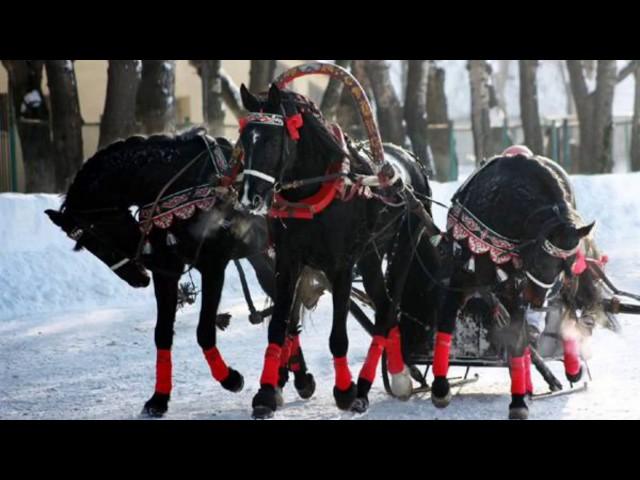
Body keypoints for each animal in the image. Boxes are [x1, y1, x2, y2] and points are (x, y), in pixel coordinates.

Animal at [45, 127, 312, 416]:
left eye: (94, 236)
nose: (139, 276)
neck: (178, 187)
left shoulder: (213, 265)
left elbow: (204, 331)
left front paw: (230, 378)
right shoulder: (167, 271)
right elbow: (162, 333)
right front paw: (158, 399)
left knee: (288, 307)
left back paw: (295, 378)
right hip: (258, 255)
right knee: (283, 304)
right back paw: (286, 377)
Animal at [238, 82, 438, 416]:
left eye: (271, 140)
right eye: (244, 139)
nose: (247, 198)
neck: (311, 194)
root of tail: (410, 159)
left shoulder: (341, 265)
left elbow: (338, 337)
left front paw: (345, 391)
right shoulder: (287, 263)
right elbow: (279, 325)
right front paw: (266, 392)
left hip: (403, 247)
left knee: (388, 310)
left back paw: (381, 383)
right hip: (370, 257)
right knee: (384, 305)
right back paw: (395, 376)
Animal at [416, 155, 596, 420]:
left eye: (568, 264)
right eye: (540, 261)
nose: (537, 300)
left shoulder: (518, 288)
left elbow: (519, 339)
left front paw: (519, 399)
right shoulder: (465, 274)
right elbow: (448, 319)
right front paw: (440, 388)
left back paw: (566, 368)